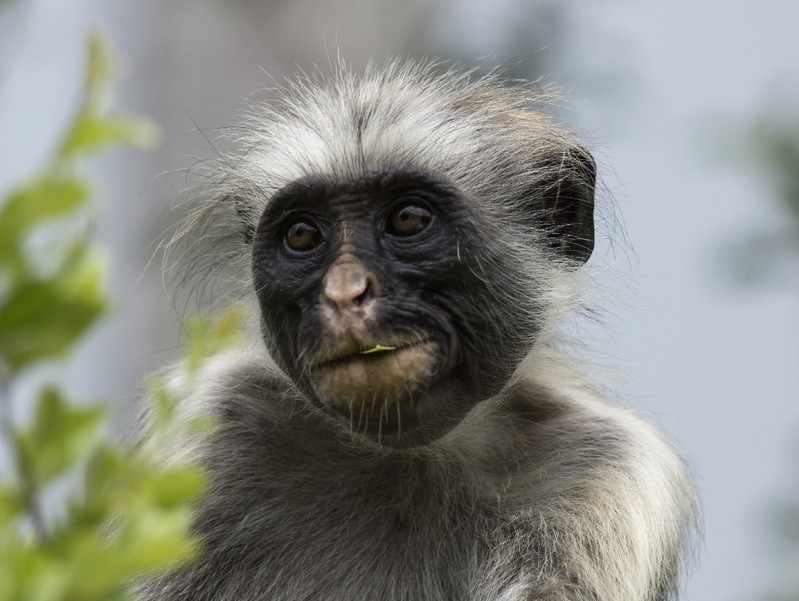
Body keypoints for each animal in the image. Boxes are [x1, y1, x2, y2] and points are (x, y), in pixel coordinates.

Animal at [139, 62, 700, 600]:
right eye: (302, 234)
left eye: (408, 219)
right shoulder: (220, 409)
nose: (344, 293)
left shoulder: (610, 468)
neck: (411, 455)